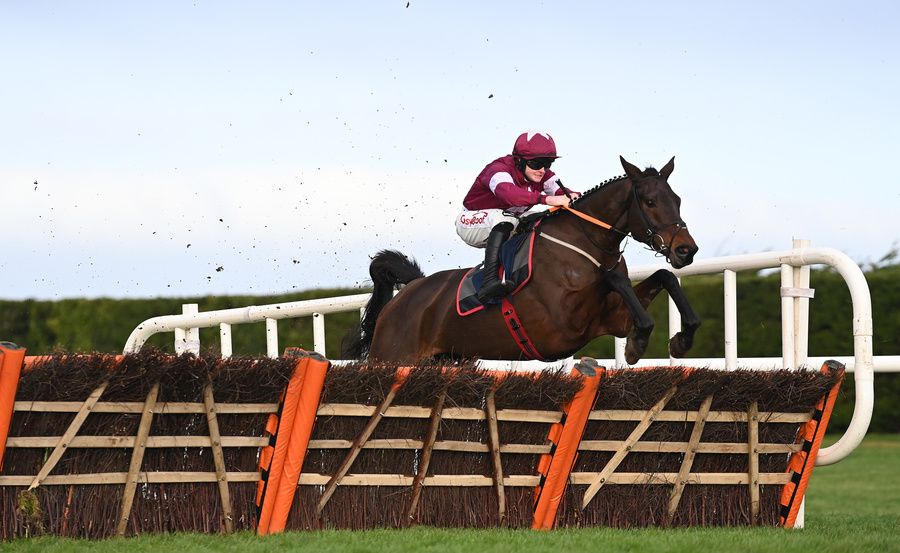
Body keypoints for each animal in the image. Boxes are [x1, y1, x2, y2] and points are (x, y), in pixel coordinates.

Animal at [344, 155, 704, 364]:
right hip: (393, 358)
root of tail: (409, 290)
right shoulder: (564, 323)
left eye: (677, 199)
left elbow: (663, 277)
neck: (586, 240)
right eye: (650, 201)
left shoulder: (611, 317)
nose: (686, 250)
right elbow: (613, 278)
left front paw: (681, 339)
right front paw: (639, 342)